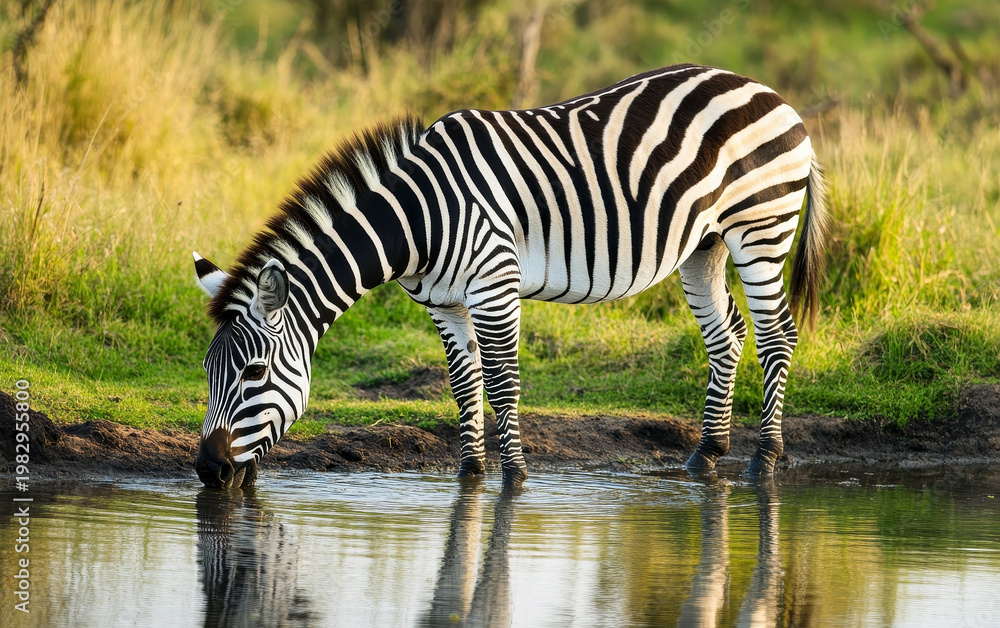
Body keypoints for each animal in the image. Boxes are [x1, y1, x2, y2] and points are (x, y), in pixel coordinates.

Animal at [193, 63, 827, 489]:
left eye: (252, 372)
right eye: (206, 371)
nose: (207, 470)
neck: (418, 219)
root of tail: (768, 92)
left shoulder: (494, 284)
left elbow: (502, 384)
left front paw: (513, 477)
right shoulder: (443, 303)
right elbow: (463, 384)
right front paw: (470, 474)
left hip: (761, 225)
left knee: (776, 336)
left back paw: (763, 460)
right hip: (704, 245)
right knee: (728, 337)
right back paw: (707, 454)